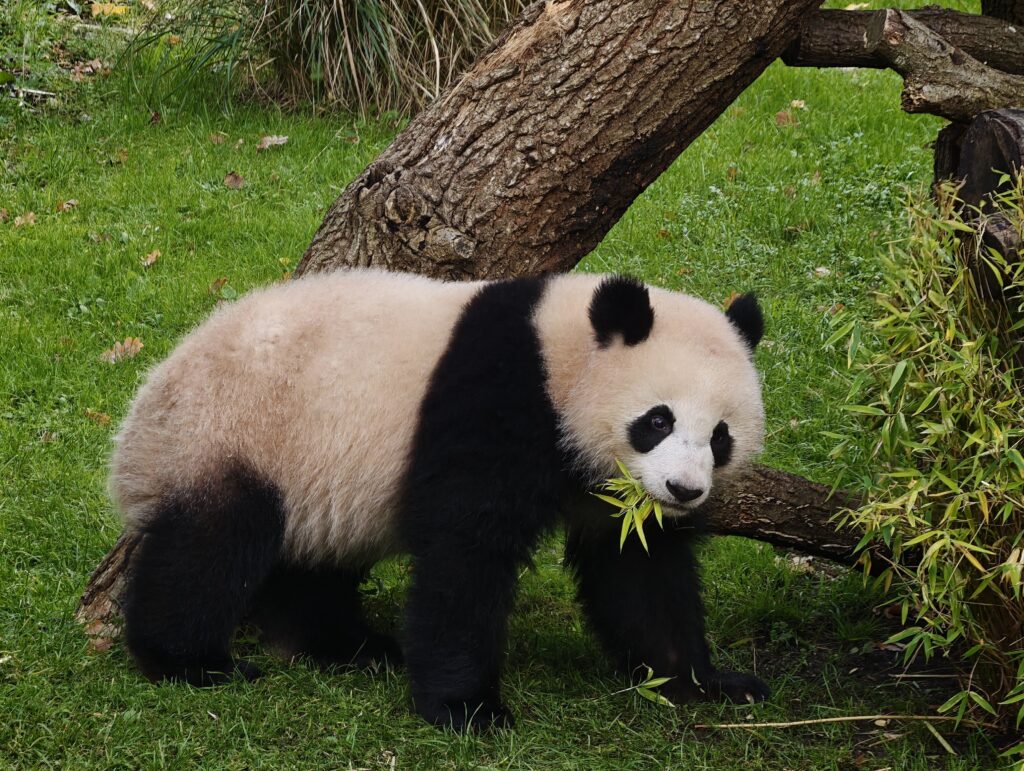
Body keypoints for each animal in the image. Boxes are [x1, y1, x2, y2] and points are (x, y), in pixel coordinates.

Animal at [110, 268, 768, 730]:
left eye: (720, 436)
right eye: (657, 420)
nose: (684, 491)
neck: (561, 356)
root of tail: (139, 425)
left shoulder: (611, 494)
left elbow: (640, 570)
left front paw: (706, 683)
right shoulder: (495, 400)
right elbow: (465, 552)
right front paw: (468, 709)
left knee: (307, 569)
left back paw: (350, 646)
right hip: (234, 435)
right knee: (211, 548)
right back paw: (189, 661)